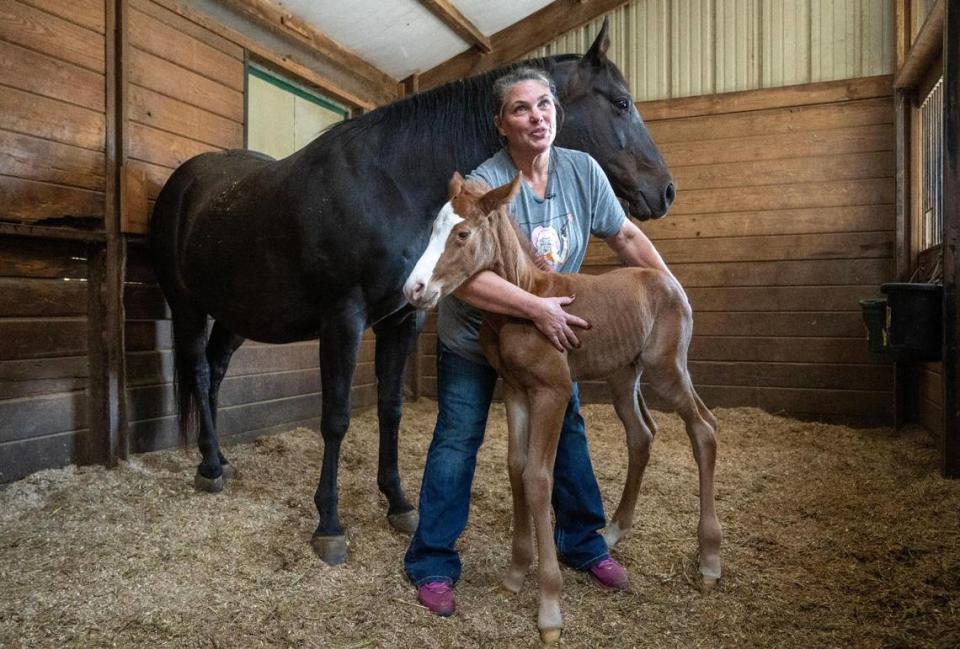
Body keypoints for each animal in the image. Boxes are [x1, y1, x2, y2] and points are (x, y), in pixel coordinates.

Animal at [152, 20, 676, 564]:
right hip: (187, 307)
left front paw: (399, 504)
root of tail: (184, 183)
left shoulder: (402, 319)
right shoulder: (343, 320)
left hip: (234, 316)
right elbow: (336, 418)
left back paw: (218, 457)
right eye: (621, 102)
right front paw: (329, 525)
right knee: (197, 371)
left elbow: (391, 409)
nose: (664, 191)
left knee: (214, 373)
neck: (391, 183)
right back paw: (210, 468)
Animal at [400, 173, 720, 644]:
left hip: (667, 370)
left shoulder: (552, 390)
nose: (414, 290)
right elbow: (516, 468)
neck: (525, 300)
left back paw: (710, 559)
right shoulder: (516, 390)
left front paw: (549, 608)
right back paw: (612, 532)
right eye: (433, 230)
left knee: (703, 428)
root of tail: (667, 280)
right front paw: (515, 575)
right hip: (623, 376)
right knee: (642, 435)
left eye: (462, 234)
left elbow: (538, 476)